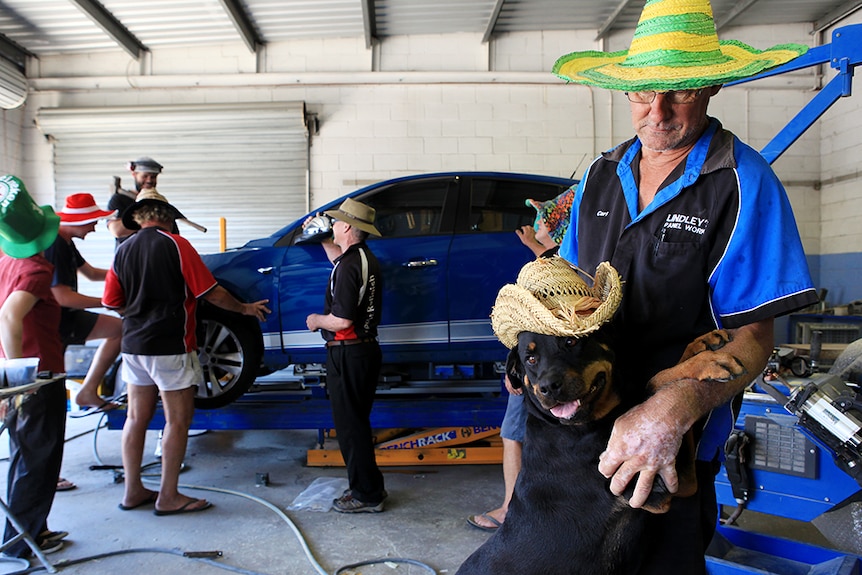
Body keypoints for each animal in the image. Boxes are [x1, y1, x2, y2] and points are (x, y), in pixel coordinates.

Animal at [456, 328, 744, 575]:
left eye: (570, 341)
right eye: (531, 359)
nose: (549, 387)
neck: (569, 428)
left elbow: (658, 394)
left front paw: (703, 343)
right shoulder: (656, 490)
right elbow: (657, 381)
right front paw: (708, 362)